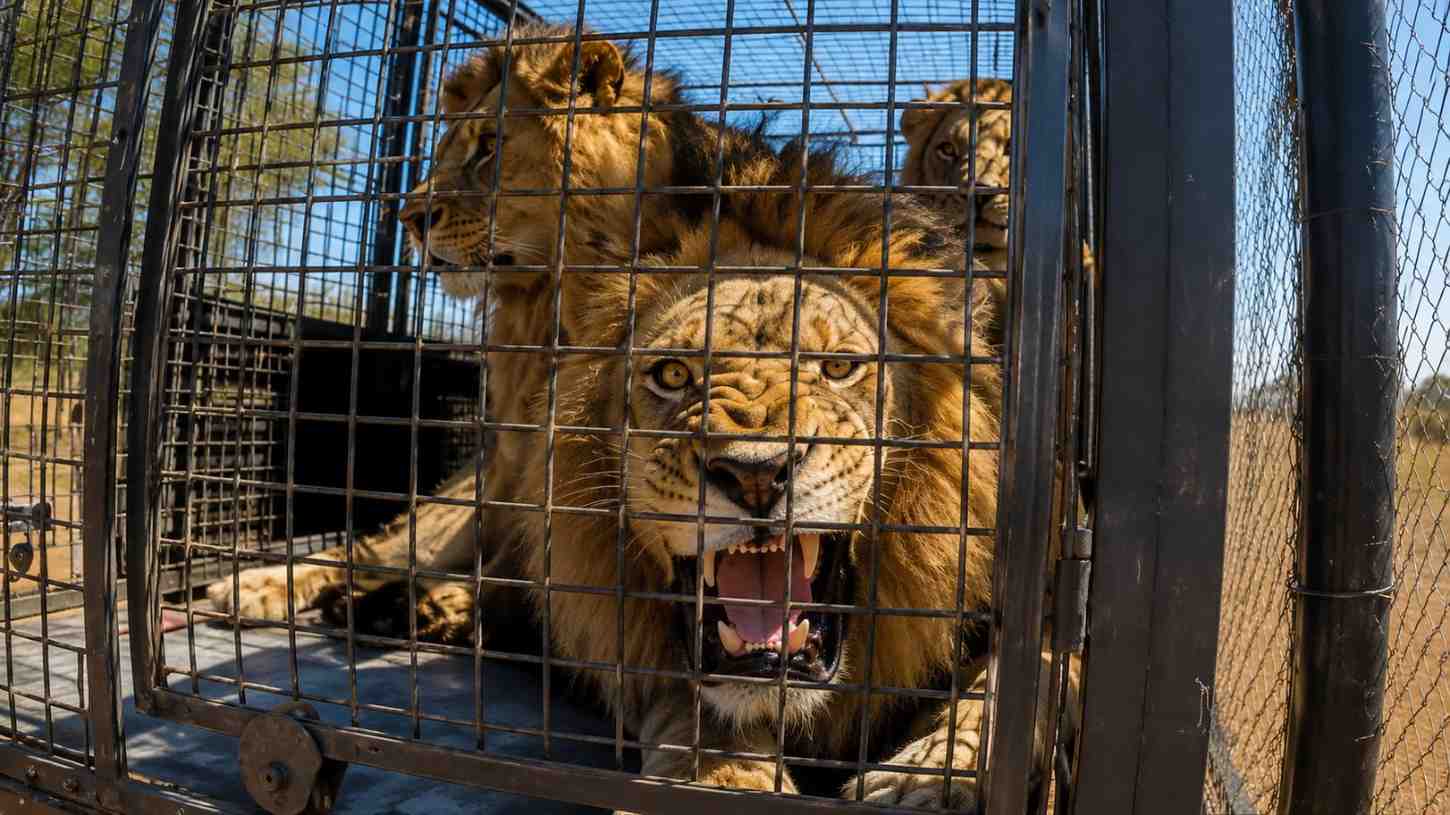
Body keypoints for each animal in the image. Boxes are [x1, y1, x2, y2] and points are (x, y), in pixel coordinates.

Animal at [206, 25, 1067, 807]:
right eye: (672, 374)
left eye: (487, 149)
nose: (411, 216)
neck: (548, 297)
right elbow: (692, 703)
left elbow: (1022, 679)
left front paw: (925, 775)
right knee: (374, 547)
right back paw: (270, 587)